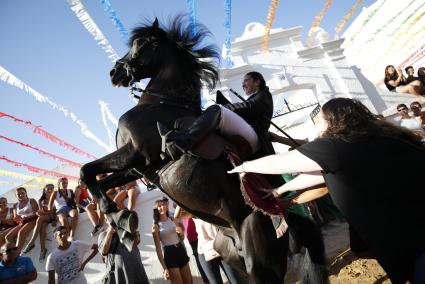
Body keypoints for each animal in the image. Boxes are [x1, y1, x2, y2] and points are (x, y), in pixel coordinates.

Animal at [81, 16, 326, 284]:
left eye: (141, 43)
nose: (115, 72)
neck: (161, 103)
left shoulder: (136, 152)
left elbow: (85, 171)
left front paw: (120, 218)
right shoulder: (137, 168)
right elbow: (97, 179)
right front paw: (120, 220)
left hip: (260, 262)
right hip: (234, 257)